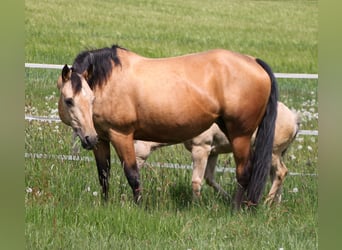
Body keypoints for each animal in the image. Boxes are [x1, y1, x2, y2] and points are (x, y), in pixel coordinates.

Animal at [57, 45, 278, 209]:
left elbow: (132, 174)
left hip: (240, 134)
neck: (109, 81)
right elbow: (104, 175)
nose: (88, 139)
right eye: (69, 100)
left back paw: (236, 209)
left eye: (91, 99)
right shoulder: (102, 139)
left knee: (245, 171)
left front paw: (139, 207)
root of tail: (254, 61)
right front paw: (104, 205)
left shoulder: (121, 135)